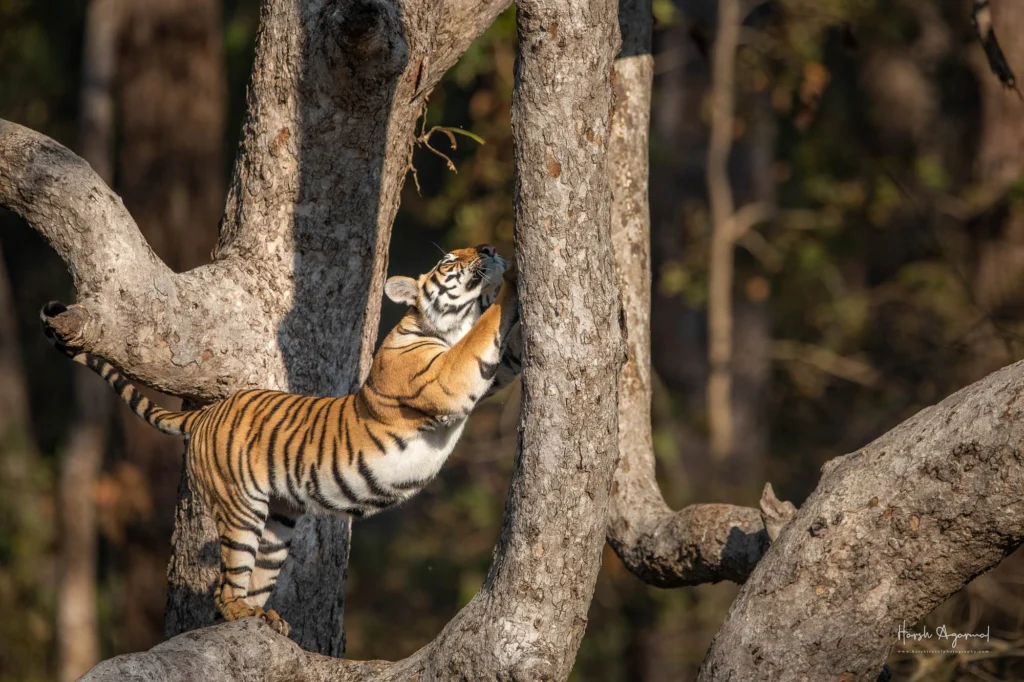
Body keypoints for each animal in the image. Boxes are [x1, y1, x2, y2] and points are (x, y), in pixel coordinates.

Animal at [41, 244, 522, 636]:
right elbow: (485, 328)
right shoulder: (446, 378)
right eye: (449, 260)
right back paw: (243, 612)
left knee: (248, 584)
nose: (486, 248)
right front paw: (513, 275)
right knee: (224, 587)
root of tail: (206, 411)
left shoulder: (483, 375)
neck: (445, 327)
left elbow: (506, 352)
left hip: (278, 525)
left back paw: (263, 618)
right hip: (240, 510)